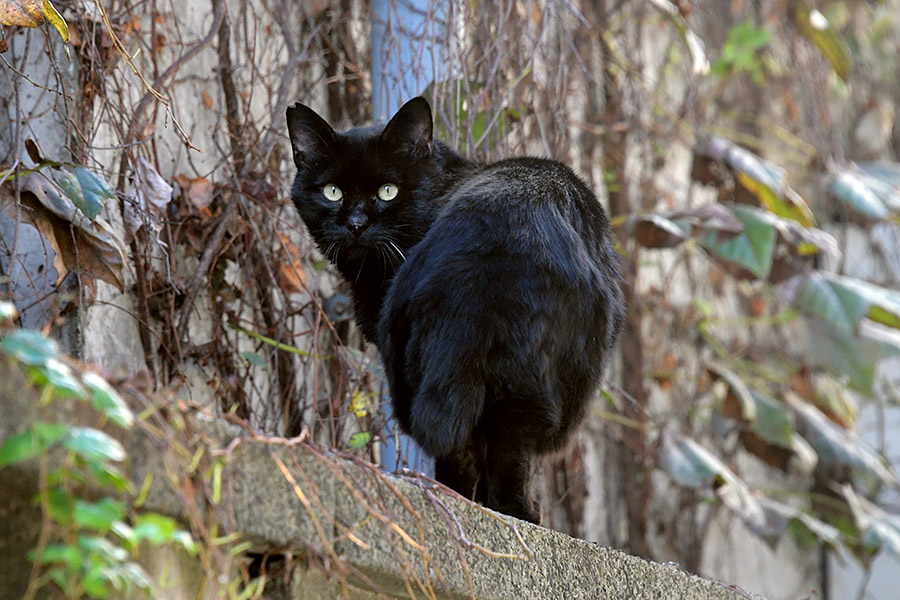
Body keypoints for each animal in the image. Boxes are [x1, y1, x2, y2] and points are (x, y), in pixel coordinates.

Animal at [284, 97, 624, 520]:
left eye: (388, 190)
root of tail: (482, 251)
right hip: (530, 374)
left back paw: (463, 498)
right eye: (332, 191)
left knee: (460, 441)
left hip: (417, 362)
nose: (357, 224)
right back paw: (511, 509)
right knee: (506, 442)